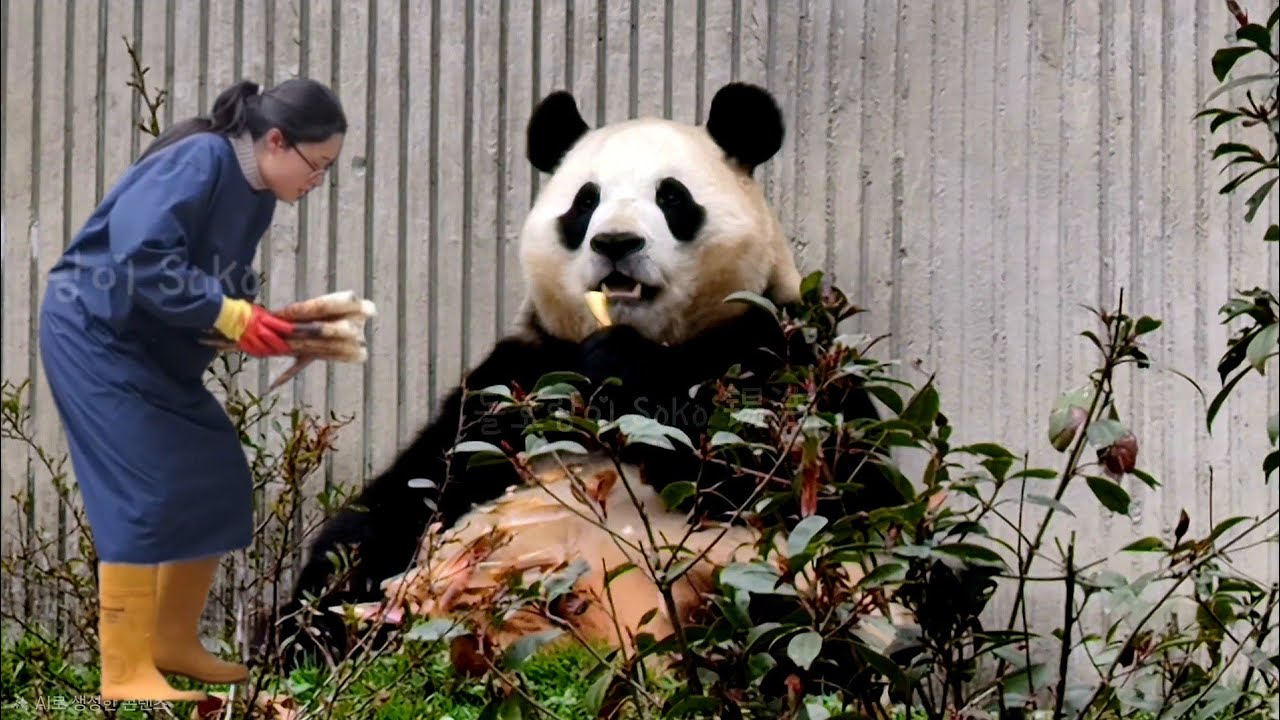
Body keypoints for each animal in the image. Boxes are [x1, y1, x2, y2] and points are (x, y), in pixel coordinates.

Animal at [262, 82, 898, 671]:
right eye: (585, 202)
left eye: (672, 196)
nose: (616, 243)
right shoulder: (519, 379)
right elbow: (412, 489)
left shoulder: (789, 352)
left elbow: (816, 484)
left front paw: (624, 369)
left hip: (759, 581)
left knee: (795, 627)